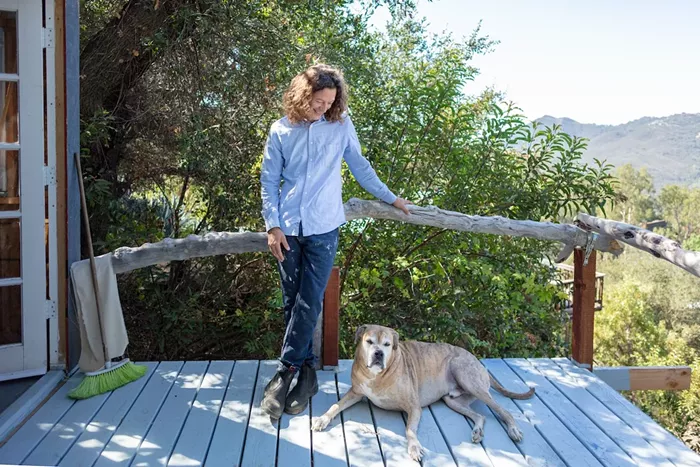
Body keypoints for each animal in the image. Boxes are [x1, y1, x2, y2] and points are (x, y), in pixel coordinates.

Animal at [308, 326, 532, 460]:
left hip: (467, 376)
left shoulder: (413, 407)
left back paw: (514, 430)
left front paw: (414, 447)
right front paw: (321, 419)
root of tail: (476, 360)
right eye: (369, 342)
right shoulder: (355, 393)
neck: (377, 375)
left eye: (387, 344)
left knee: (503, 410)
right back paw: (477, 431)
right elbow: (335, 405)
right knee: (480, 415)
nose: (378, 354)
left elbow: (409, 430)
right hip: (453, 401)